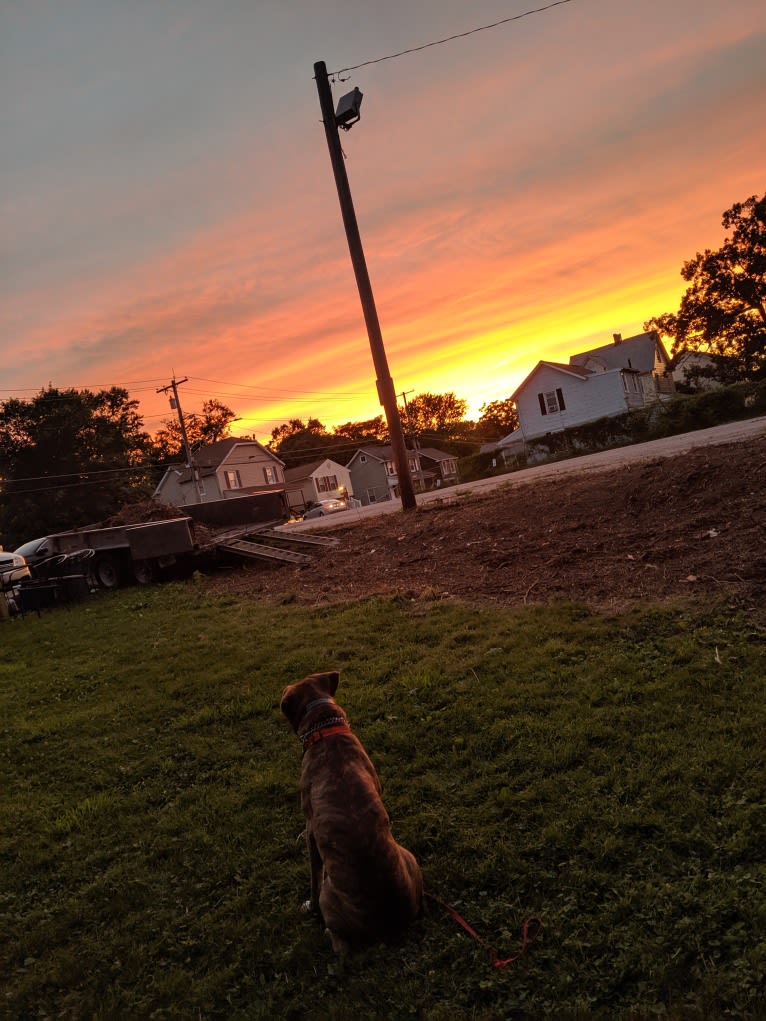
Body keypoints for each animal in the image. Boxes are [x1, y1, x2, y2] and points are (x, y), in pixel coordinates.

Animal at [281, 669, 426, 955]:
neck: (325, 728)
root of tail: (391, 923)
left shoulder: (310, 830)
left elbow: (314, 876)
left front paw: (309, 907)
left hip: (329, 896)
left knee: (341, 947)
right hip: (409, 856)